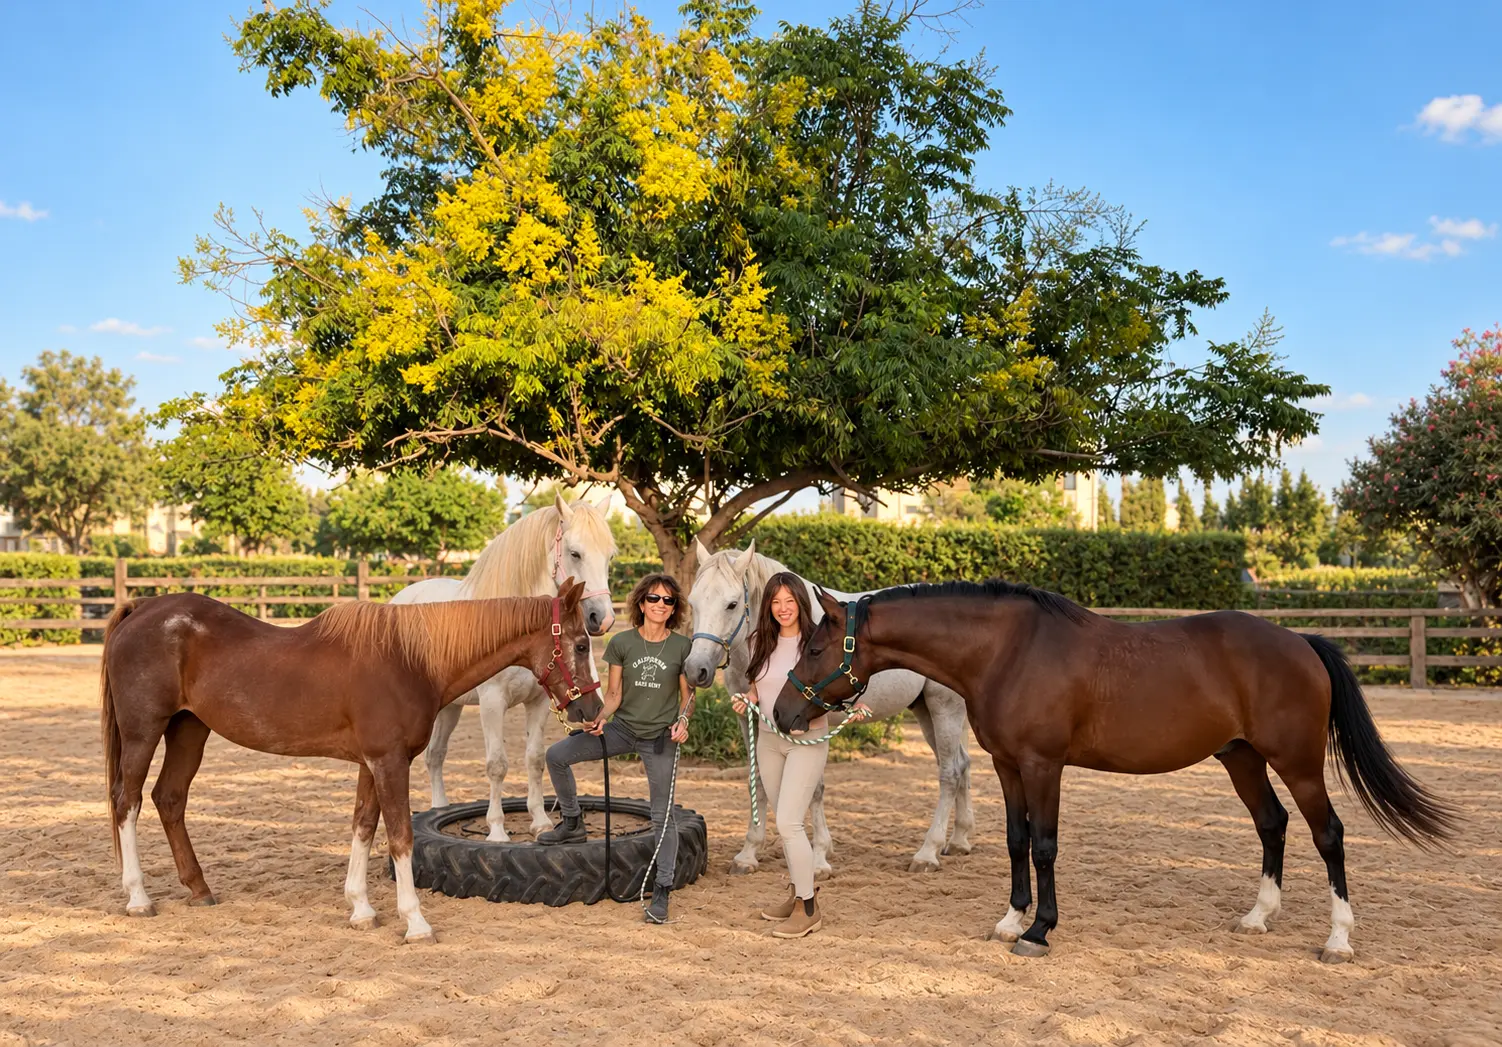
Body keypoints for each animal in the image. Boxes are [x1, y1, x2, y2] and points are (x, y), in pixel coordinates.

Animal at [100, 580, 601, 943]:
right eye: (580, 645)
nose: (592, 710)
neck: (411, 660)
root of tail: (141, 609)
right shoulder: (389, 762)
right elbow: (399, 837)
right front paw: (415, 921)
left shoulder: (371, 763)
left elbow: (363, 825)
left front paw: (360, 907)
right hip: (144, 732)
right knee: (128, 802)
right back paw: (138, 897)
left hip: (189, 730)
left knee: (169, 799)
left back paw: (199, 889)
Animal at [391, 493, 617, 840]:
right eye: (575, 553)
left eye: (609, 556)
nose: (602, 619)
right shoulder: (492, 703)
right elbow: (496, 765)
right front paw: (496, 830)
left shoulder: (539, 702)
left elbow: (534, 759)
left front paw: (540, 822)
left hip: (450, 707)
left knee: (435, 755)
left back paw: (440, 809)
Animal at [684, 540, 975, 877]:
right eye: (692, 602)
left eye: (732, 604)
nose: (695, 670)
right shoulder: (750, 719)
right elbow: (758, 781)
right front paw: (748, 854)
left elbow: (813, 788)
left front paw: (819, 857)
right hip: (926, 710)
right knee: (962, 764)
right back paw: (959, 840)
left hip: (944, 708)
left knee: (949, 772)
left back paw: (928, 853)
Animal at [773, 582, 1457, 962]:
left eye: (815, 646)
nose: (780, 711)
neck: (1008, 651)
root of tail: (1301, 642)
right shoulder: (1007, 765)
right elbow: (1016, 841)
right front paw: (1010, 920)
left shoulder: (1044, 766)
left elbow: (1045, 846)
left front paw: (1039, 930)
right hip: (1241, 757)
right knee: (1272, 824)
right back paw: (1258, 916)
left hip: (1297, 762)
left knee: (1327, 834)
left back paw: (1339, 940)